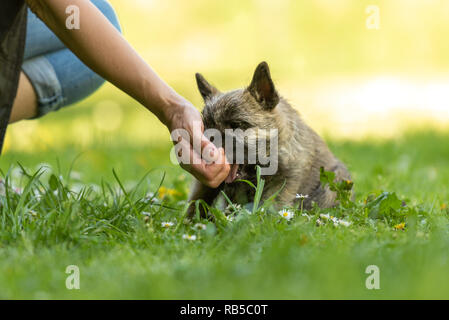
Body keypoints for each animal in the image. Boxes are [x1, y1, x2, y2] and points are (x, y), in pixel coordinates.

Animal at [186, 62, 350, 218]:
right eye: (206, 127)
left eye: (236, 125)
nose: (205, 145)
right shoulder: (205, 184)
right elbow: (197, 200)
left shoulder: (284, 182)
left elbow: (271, 204)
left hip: (335, 181)